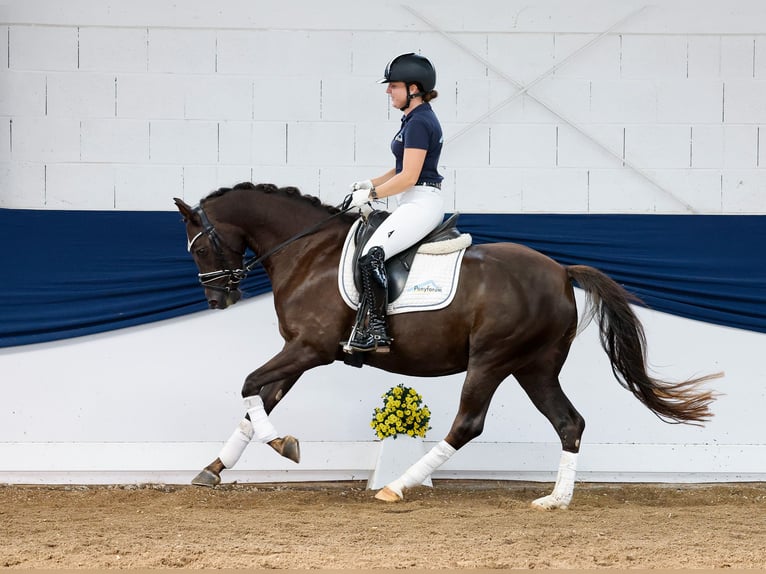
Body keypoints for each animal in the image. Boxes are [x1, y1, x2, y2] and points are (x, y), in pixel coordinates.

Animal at [174, 182, 720, 510]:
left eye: (199, 247)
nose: (219, 299)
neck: (308, 252)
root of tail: (560, 271)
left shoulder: (311, 349)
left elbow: (248, 386)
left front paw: (284, 446)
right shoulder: (298, 353)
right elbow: (256, 403)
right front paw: (214, 470)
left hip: (492, 359)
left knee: (468, 424)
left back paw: (396, 487)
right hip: (535, 366)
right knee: (570, 422)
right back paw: (555, 500)